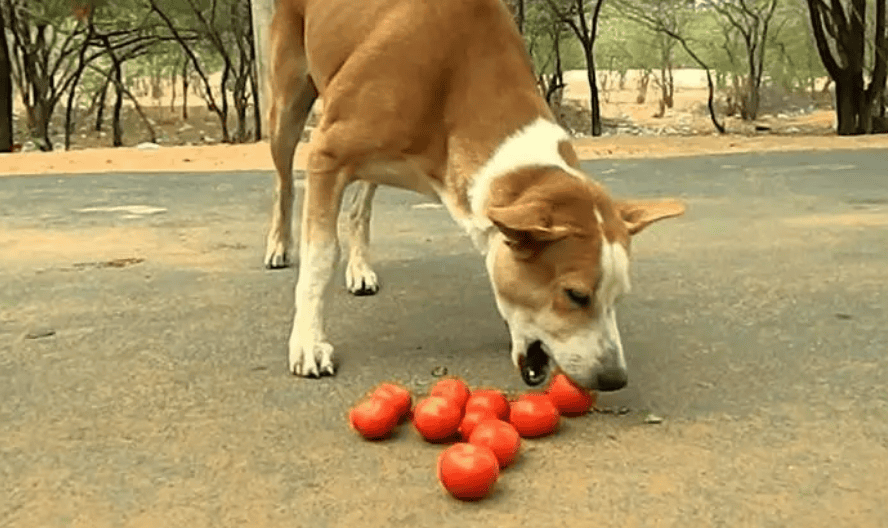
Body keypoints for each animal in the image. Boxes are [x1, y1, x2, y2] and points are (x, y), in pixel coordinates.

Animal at [268, 0, 684, 390]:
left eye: (619, 298)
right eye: (575, 295)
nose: (615, 378)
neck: (457, 80)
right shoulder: (327, 155)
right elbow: (321, 258)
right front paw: (308, 342)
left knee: (360, 208)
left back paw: (359, 268)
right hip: (287, 107)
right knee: (285, 184)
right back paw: (279, 245)